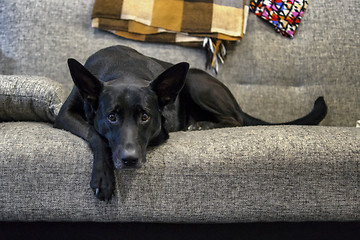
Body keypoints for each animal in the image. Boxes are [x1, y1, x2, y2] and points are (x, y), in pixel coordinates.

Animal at [53, 45, 326, 201]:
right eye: (111, 117)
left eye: (145, 116)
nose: (130, 159)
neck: (123, 70)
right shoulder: (64, 115)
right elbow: (96, 134)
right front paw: (103, 177)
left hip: (195, 82)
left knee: (236, 119)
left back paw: (201, 125)